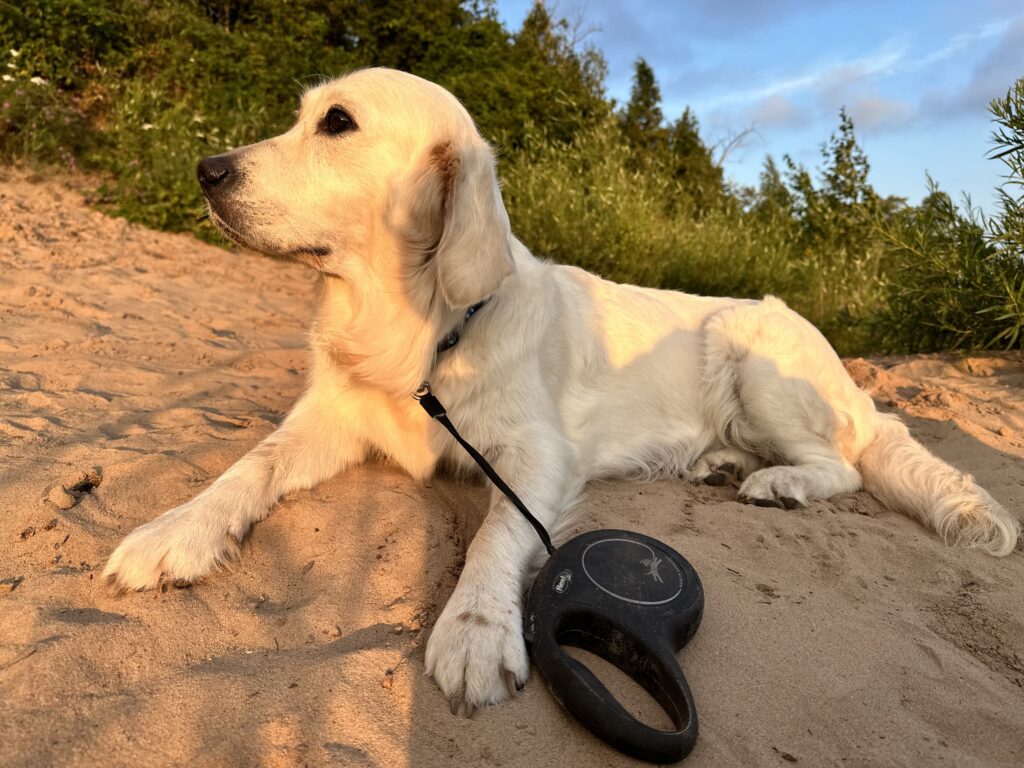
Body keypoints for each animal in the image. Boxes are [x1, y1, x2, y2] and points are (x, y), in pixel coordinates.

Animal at [103, 68, 1020, 714]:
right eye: (304, 116)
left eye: (337, 123)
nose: (206, 169)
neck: (417, 327)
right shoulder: (331, 416)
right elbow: (249, 465)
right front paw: (173, 531)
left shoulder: (537, 452)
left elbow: (497, 534)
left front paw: (476, 629)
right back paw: (719, 465)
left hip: (754, 349)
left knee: (845, 464)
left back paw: (776, 482)